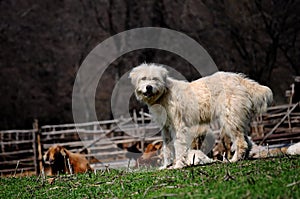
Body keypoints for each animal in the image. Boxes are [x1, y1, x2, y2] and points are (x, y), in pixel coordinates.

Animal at [129, 63, 272, 168]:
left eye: (155, 79)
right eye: (143, 78)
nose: (148, 87)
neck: (164, 93)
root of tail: (239, 78)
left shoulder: (178, 127)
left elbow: (179, 147)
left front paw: (178, 165)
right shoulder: (165, 129)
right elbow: (167, 149)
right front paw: (166, 166)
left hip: (230, 120)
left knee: (241, 142)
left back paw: (234, 159)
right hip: (237, 120)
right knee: (247, 141)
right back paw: (243, 158)